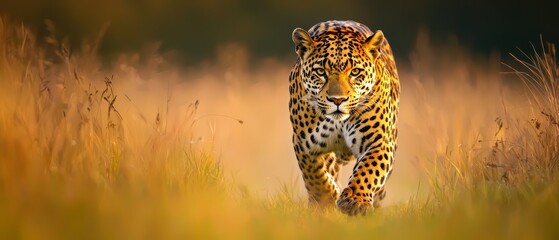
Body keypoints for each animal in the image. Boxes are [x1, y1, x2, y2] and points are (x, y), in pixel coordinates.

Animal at [288, 20, 402, 216]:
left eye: (355, 72)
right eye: (320, 72)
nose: (337, 100)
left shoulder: (380, 141)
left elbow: (368, 170)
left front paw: (354, 201)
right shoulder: (304, 144)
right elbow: (314, 174)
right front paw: (325, 200)